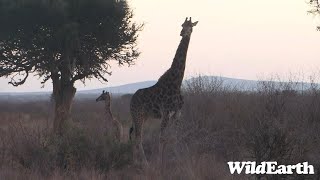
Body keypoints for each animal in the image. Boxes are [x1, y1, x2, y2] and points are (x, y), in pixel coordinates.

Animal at [129, 17, 198, 165]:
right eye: (182, 25)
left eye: (191, 26)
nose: (183, 33)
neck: (177, 82)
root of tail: (131, 99)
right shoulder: (166, 112)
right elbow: (162, 137)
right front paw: (159, 163)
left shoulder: (177, 113)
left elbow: (174, 137)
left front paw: (178, 159)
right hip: (137, 114)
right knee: (138, 137)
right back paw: (144, 163)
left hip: (145, 116)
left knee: (136, 137)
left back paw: (136, 161)